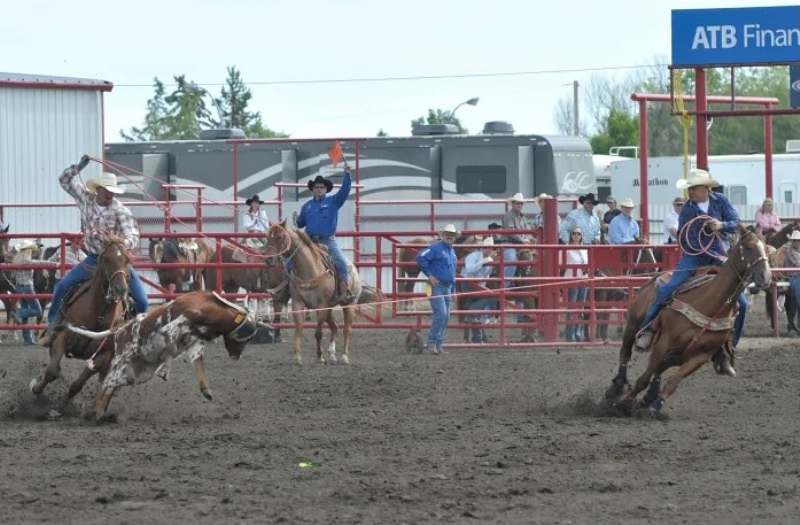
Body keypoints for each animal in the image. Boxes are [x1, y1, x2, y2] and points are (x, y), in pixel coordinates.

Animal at [264, 221, 364, 364]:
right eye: (268, 237)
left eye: (280, 237)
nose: (268, 259)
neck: (308, 270)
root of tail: (354, 268)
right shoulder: (298, 304)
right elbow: (299, 328)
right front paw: (297, 356)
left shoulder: (321, 306)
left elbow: (318, 332)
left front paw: (319, 356)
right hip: (329, 309)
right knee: (335, 327)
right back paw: (332, 354)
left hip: (349, 305)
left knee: (347, 329)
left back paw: (344, 356)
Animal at [608, 225, 768, 414]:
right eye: (749, 247)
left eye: (766, 248)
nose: (765, 277)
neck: (709, 303)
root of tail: (654, 278)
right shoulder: (664, 344)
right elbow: (644, 378)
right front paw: (623, 403)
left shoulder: (700, 356)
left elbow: (673, 382)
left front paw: (655, 406)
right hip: (633, 326)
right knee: (626, 354)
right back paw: (617, 387)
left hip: (676, 355)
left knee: (659, 370)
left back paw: (649, 398)